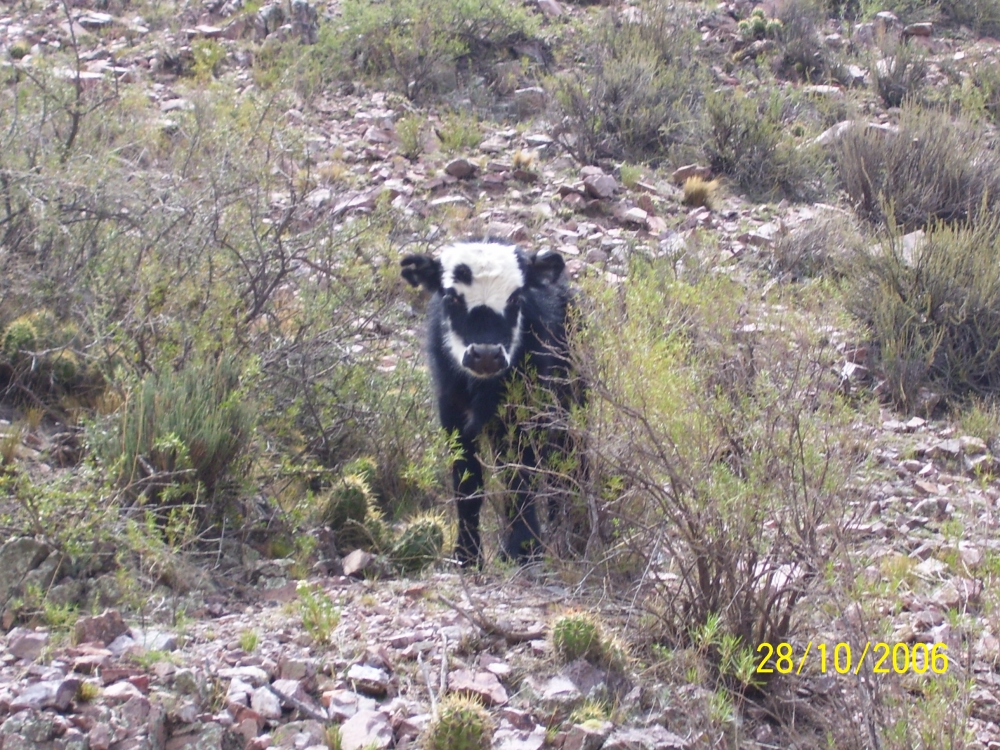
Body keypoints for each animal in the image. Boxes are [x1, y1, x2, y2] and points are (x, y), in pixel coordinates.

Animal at [402, 244, 576, 568]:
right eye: (451, 297)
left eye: (516, 297)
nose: (485, 354)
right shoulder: (452, 414)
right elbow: (467, 484)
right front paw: (468, 555)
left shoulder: (525, 415)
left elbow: (521, 478)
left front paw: (524, 548)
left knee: (567, 466)